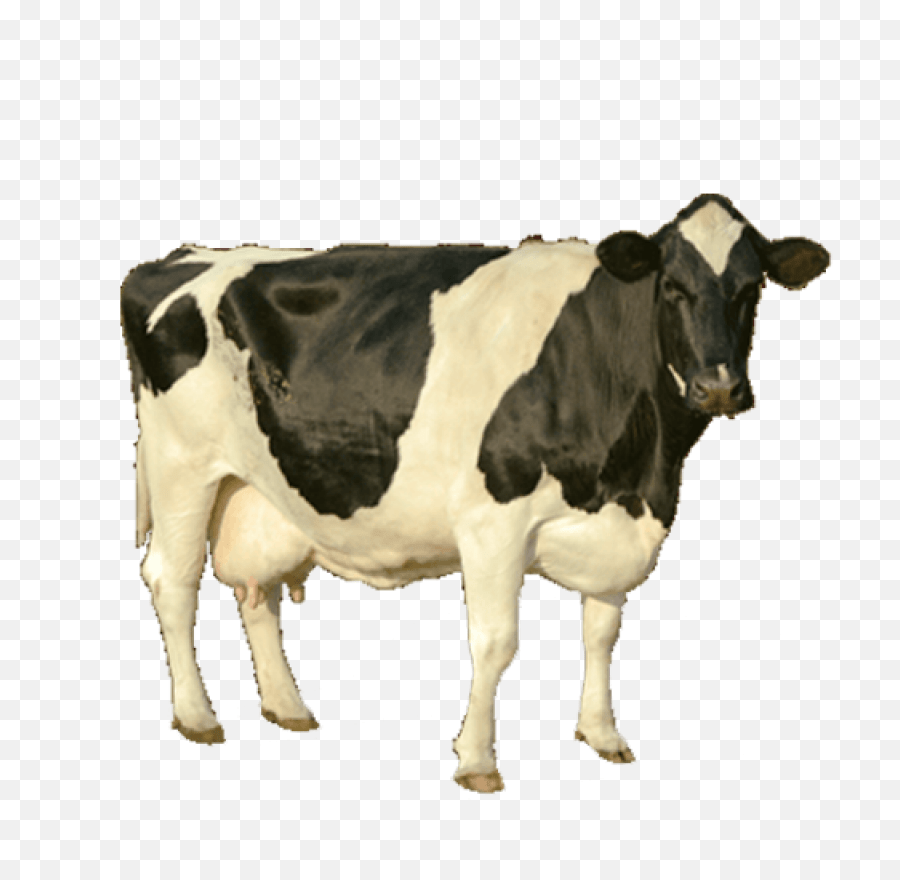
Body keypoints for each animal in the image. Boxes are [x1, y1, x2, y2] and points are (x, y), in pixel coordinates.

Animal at [121, 194, 829, 793]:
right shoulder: (494, 523)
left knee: (255, 592)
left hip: (259, 489)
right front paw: (477, 760)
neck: (642, 467)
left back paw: (287, 705)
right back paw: (197, 715)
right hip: (183, 465)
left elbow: (601, 632)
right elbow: (496, 642)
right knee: (172, 580)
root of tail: (184, 256)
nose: (719, 386)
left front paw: (602, 733)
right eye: (673, 286)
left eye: (751, 288)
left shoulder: (615, 522)